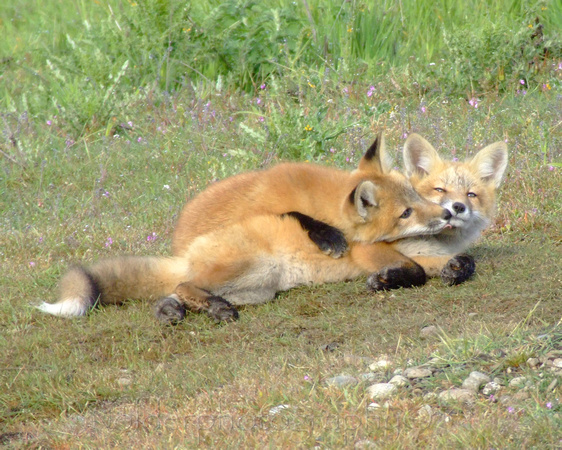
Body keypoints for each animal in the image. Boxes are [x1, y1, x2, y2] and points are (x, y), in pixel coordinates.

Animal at [38, 135, 450, 322]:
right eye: (406, 212)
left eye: (416, 193)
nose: (447, 212)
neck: (319, 195)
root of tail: (180, 250)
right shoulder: (279, 204)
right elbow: (300, 218)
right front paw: (331, 239)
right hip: (241, 265)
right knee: (183, 284)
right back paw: (207, 306)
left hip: (256, 288)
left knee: (174, 290)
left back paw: (175, 310)